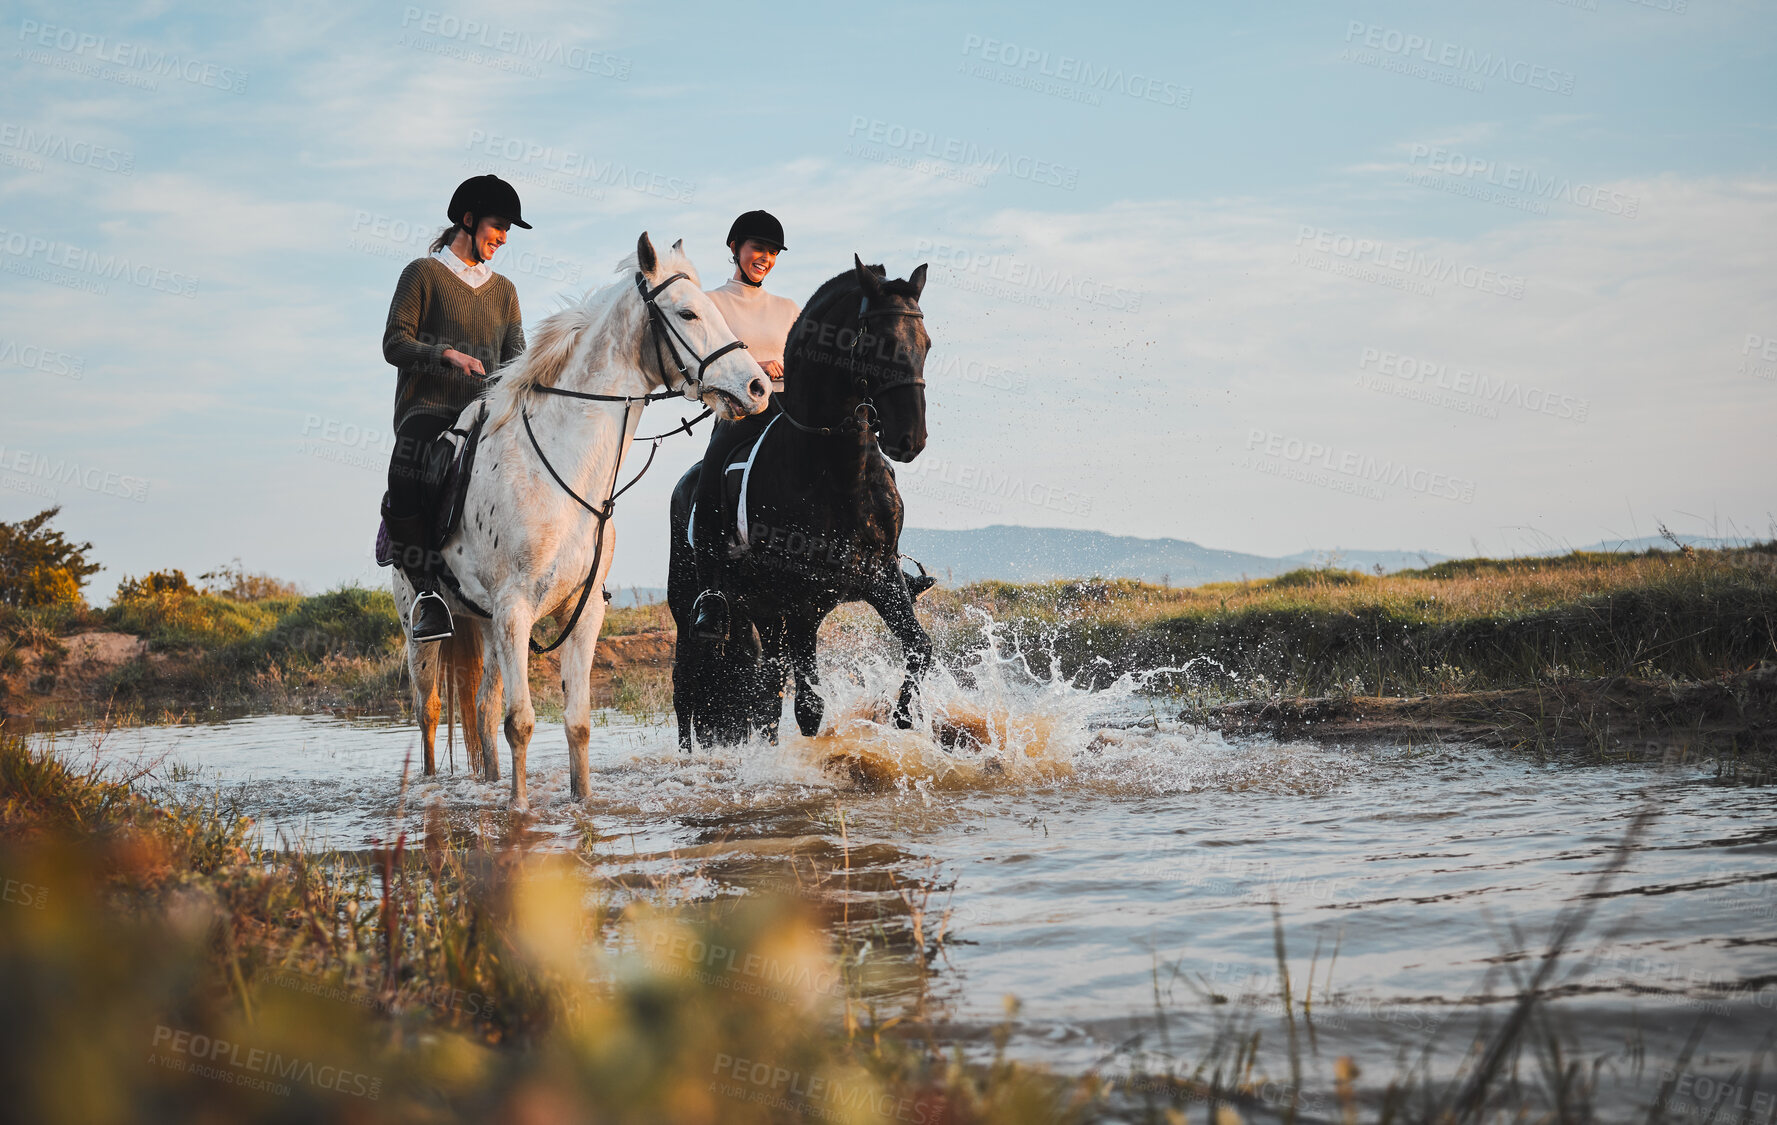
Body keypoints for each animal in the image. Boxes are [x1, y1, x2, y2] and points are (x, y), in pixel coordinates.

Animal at [396, 232, 771, 803]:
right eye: (687, 313)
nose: (757, 387)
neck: (562, 469)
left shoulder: (582, 610)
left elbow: (576, 722)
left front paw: (582, 803)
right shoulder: (515, 610)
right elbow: (522, 723)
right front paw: (519, 811)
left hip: (482, 623)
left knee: (480, 708)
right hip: (421, 624)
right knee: (430, 710)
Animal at [668, 254, 938, 746]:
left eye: (925, 343)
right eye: (879, 343)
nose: (911, 440)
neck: (839, 474)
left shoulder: (882, 579)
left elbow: (919, 648)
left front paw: (903, 717)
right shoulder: (801, 602)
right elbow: (809, 709)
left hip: (761, 611)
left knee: (764, 690)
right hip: (693, 607)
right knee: (687, 686)